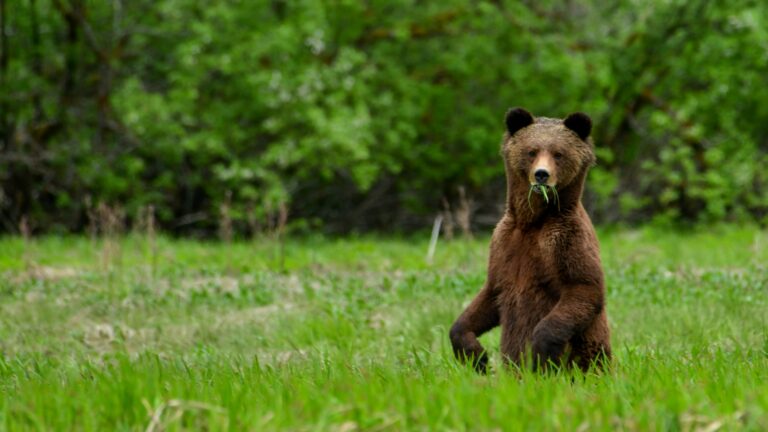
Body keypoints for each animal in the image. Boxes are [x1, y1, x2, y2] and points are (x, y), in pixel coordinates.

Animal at [449, 107, 611, 373]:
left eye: (558, 153)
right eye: (532, 151)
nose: (541, 174)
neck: (532, 221)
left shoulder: (565, 240)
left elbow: (584, 288)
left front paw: (541, 354)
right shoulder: (503, 243)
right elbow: (489, 294)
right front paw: (477, 355)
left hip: (588, 357)